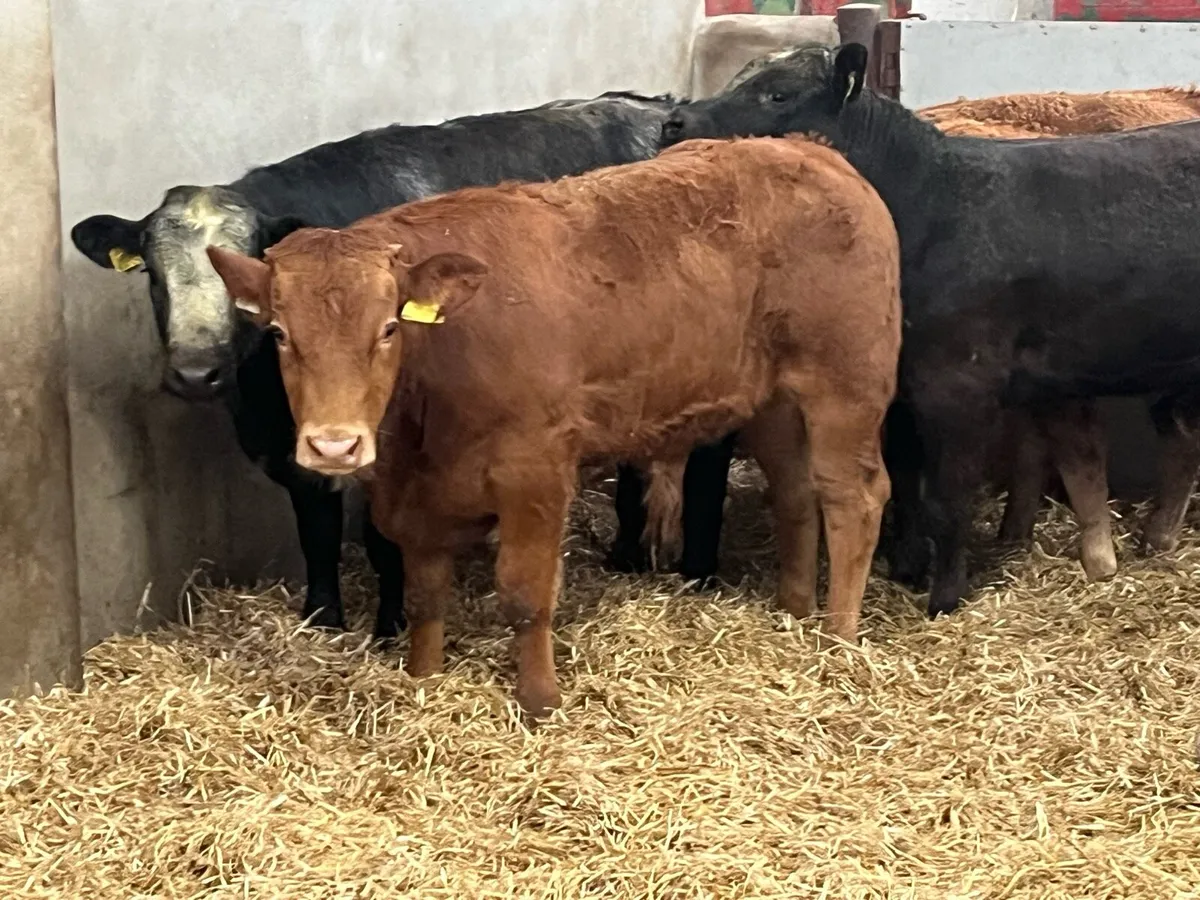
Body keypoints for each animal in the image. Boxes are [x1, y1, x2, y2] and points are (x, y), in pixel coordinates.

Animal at [69, 91, 677, 639]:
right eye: (151, 273)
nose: (196, 372)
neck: (267, 395)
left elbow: (385, 542)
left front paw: (391, 625)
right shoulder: (294, 450)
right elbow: (316, 532)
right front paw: (322, 619)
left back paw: (625, 553)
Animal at [205, 134, 902, 715]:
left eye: (388, 329)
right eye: (278, 333)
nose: (334, 445)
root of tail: (812, 151)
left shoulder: (535, 469)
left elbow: (525, 592)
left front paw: (539, 700)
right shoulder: (417, 499)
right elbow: (426, 593)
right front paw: (424, 679)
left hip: (847, 384)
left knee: (854, 496)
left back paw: (838, 637)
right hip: (774, 402)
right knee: (796, 493)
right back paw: (793, 611)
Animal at [660, 42, 1200, 618]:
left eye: (779, 93)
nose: (675, 121)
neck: (931, 203)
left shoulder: (959, 385)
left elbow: (948, 499)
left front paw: (945, 595)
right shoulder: (906, 385)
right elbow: (907, 479)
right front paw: (910, 565)